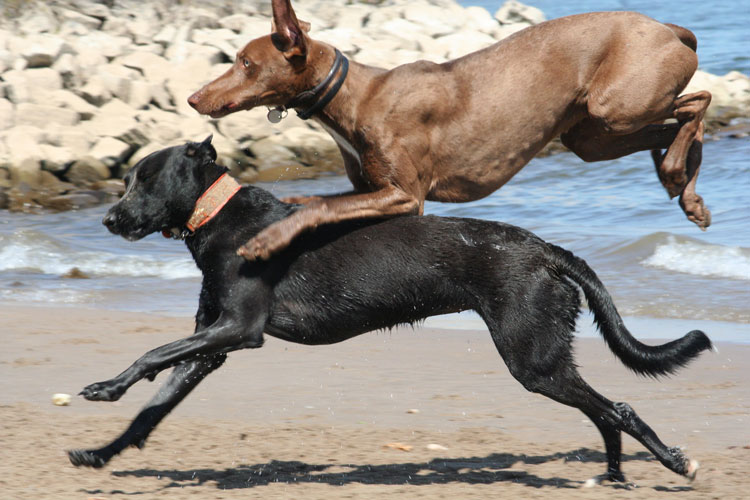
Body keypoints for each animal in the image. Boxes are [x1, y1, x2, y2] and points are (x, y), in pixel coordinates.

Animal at [67, 137, 712, 484]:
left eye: (146, 179)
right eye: (126, 179)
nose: (109, 221)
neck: (220, 217)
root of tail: (545, 250)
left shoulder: (237, 329)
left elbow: (152, 353)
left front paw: (104, 386)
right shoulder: (212, 346)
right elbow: (151, 410)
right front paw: (100, 451)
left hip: (534, 359)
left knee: (618, 407)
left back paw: (674, 463)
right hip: (544, 358)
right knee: (606, 412)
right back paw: (616, 475)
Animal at [187, 1, 712, 262]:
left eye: (246, 62)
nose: (194, 99)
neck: (354, 97)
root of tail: (666, 27)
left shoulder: (404, 196)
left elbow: (318, 206)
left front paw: (265, 241)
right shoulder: (371, 191)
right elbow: (318, 203)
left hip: (615, 107)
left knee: (697, 104)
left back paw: (674, 172)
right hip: (589, 136)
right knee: (680, 124)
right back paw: (684, 187)